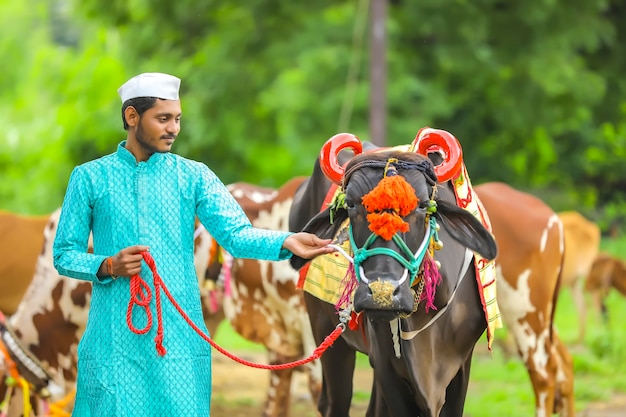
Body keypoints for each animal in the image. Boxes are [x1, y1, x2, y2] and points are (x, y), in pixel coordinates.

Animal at [288, 150, 498, 416]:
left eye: (422, 205)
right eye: (351, 204)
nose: (383, 293)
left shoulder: (460, 366)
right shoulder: (388, 367)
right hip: (323, 327)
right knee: (335, 402)